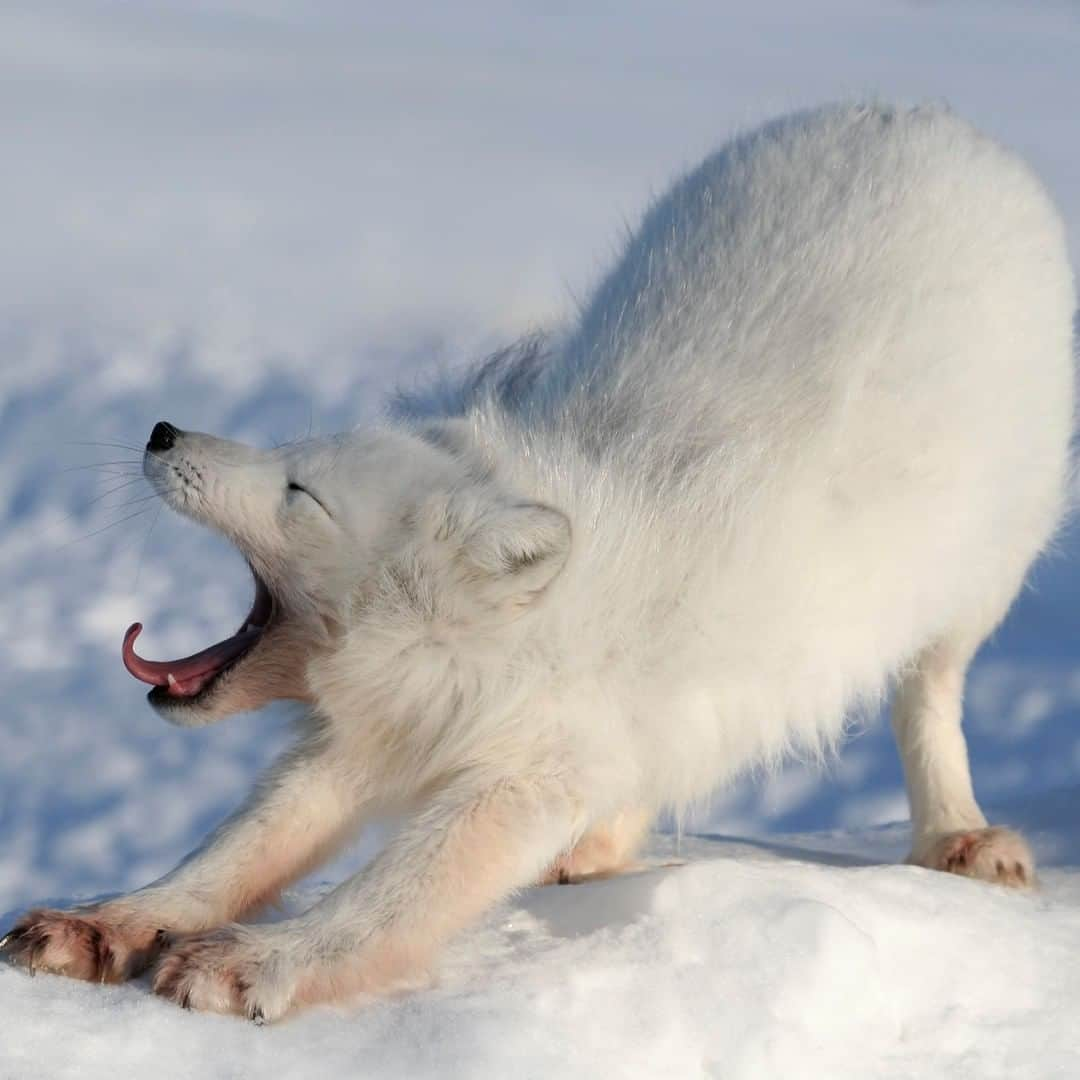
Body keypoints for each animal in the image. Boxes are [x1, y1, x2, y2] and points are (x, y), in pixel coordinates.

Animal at [4, 103, 1075, 1019]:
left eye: (299, 492)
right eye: (285, 454)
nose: (161, 430)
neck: (480, 648)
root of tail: (921, 114)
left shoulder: (523, 775)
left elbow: (396, 894)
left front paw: (259, 962)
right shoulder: (373, 738)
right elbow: (236, 850)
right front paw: (108, 924)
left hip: (974, 582)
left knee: (929, 695)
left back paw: (959, 835)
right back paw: (599, 850)